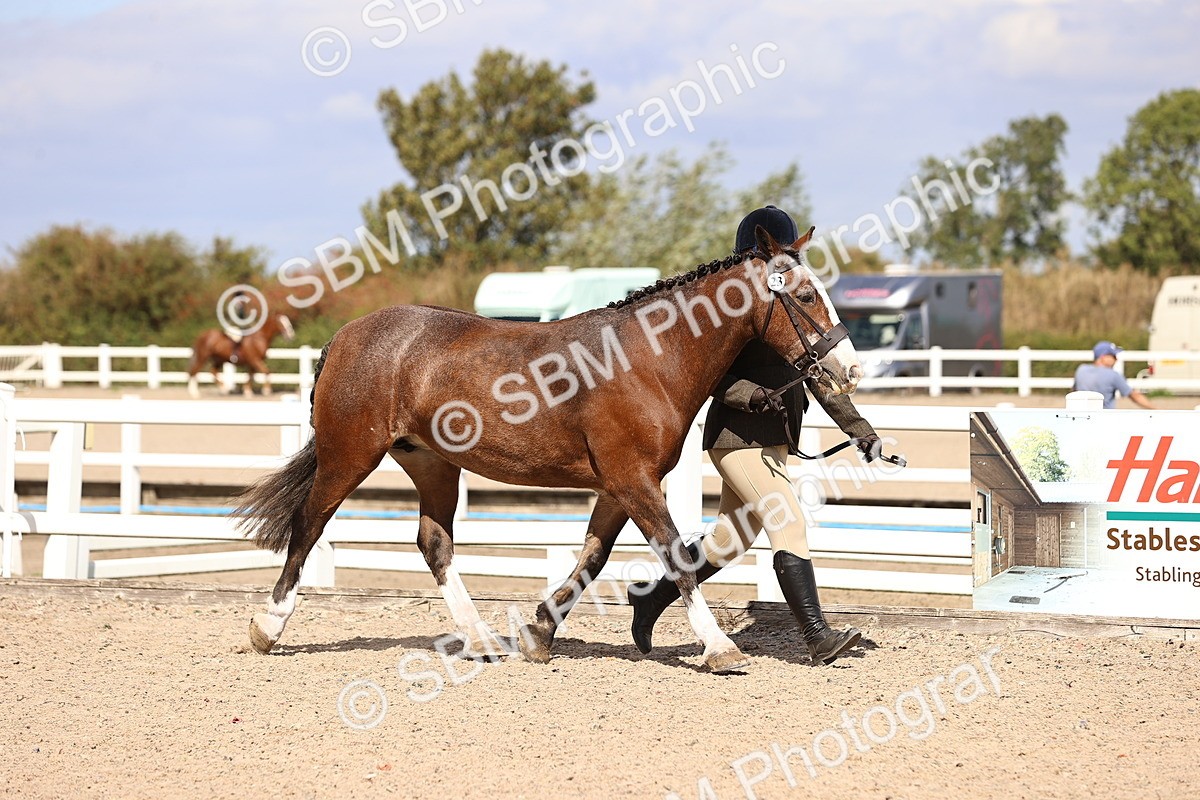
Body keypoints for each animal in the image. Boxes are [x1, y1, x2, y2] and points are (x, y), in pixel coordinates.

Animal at [232, 226, 862, 673]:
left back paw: (483, 639)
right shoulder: (633, 480)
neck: (649, 359)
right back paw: (268, 627)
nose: (850, 369)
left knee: (434, 544)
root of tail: (345, 336)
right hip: (349, 455)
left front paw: (538, 633)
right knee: (309, 524)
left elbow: (593, 559)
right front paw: (719, 648)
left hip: (432, 464)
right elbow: (676, 557)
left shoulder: (619, 486)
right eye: (807, 294)